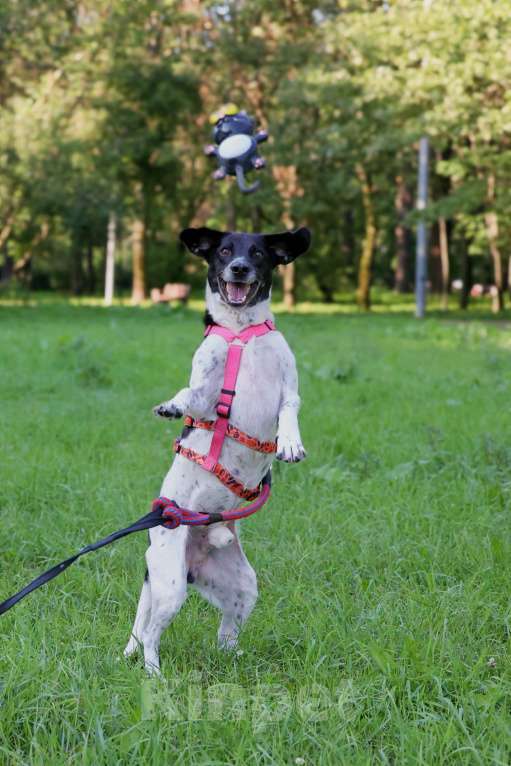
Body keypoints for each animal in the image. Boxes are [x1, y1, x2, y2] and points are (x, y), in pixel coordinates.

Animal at [126, 225, 314, 676]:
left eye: (259, 253)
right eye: (225, 251)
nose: (240, 268)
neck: (241, 334)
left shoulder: (289, 389)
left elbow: (290, 411)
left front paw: (290, 442)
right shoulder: (206, 395)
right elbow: (189, 396)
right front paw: (172, 406)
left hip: (243, 586)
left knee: (226, 633)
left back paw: (235, 658)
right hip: (170, 586)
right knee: (149, 637)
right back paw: (154, 673)